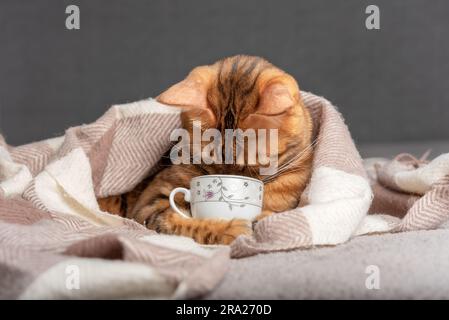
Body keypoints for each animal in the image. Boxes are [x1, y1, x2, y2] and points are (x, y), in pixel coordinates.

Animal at [98, 55, 314, 245]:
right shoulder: (149, 204)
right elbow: (184, 223)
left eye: (253, 166)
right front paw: (231, 229)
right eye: (208, 163)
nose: (226, 183)